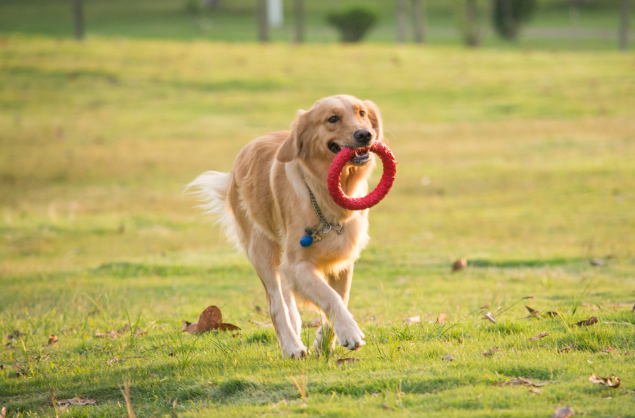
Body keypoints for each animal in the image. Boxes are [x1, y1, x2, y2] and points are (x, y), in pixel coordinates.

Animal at [190, 95, 382, 360]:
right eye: (332, 119)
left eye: (362, 113)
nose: (365, 134)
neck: (324, 194)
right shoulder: (297, 264)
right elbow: (329, 297)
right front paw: (350, 332)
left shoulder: (342, 261)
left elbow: (340, 297)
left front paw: (324, 342)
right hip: (262, 250)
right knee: (276, 303)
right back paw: (291, 346)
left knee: (288, 298)